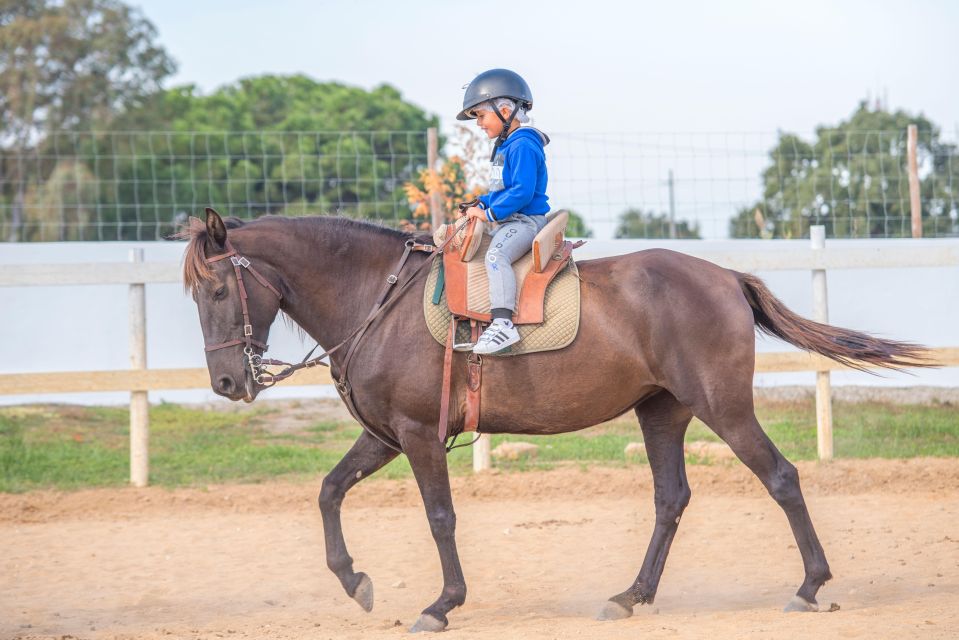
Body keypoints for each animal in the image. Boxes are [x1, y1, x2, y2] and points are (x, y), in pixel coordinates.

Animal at [182, 209, 928, 632]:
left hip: (723, 408)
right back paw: (630, 596)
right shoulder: (385, 434)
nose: (227, 383)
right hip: (662, 412)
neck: (376, 299)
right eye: (194, 292)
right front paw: (353, 581)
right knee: (670, 499)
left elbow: (439, 517)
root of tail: (724, 277)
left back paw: (808, 587)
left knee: (781, 478)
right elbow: (329, 490)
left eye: (217, 289)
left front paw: (442, 603)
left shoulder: (419, 435)